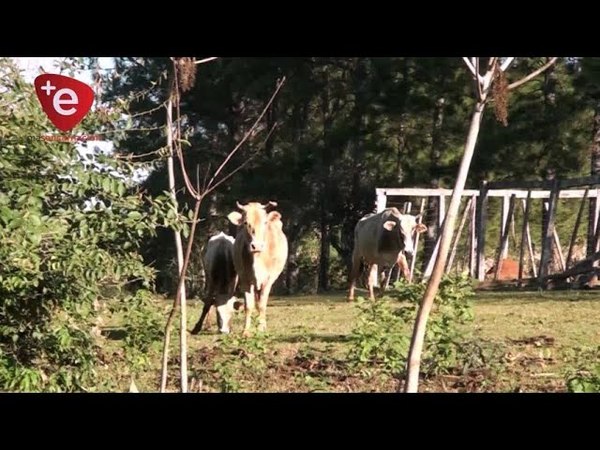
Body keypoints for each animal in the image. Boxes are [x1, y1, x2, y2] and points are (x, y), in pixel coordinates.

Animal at [227, 202, 288, 336]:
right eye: (245, 223)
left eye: (265, 222)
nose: (256, 246)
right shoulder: (245, 279)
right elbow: (249, 306)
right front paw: (246, 331)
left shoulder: (268, 280)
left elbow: (262, 305)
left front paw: (261, 328)